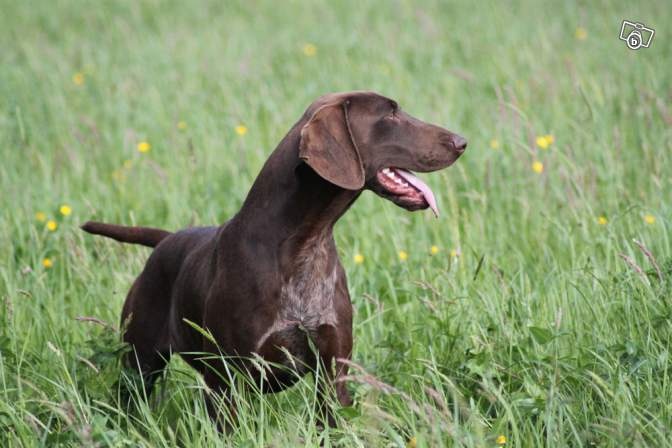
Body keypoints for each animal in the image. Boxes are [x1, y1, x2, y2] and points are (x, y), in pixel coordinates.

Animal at [81, 90, 464, 424]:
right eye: (390, 114)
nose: (462, 141)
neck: (304, 243)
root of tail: (167, 240)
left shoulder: (332, 373)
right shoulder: (228, 381)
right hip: (139, 365)